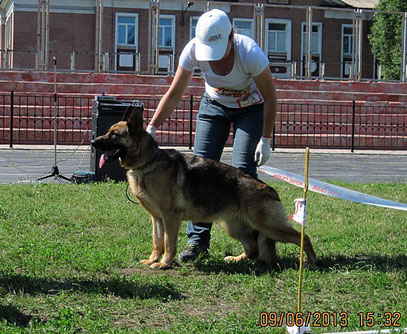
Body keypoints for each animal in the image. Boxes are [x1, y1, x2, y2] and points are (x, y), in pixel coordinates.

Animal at [92, 103, 318, 270]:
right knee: (253, 248)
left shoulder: (170, 218)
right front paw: (153, 260)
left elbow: (168, 243)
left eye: (114, 135)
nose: (93, 142)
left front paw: (165, 263)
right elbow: (157, 242)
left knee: (304, 237)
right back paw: (237, 259)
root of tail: (270, 190)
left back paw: (312, 263)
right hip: (234, 227)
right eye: (108, 132)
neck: (148, 162)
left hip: (268, 226)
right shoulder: (156, 218)